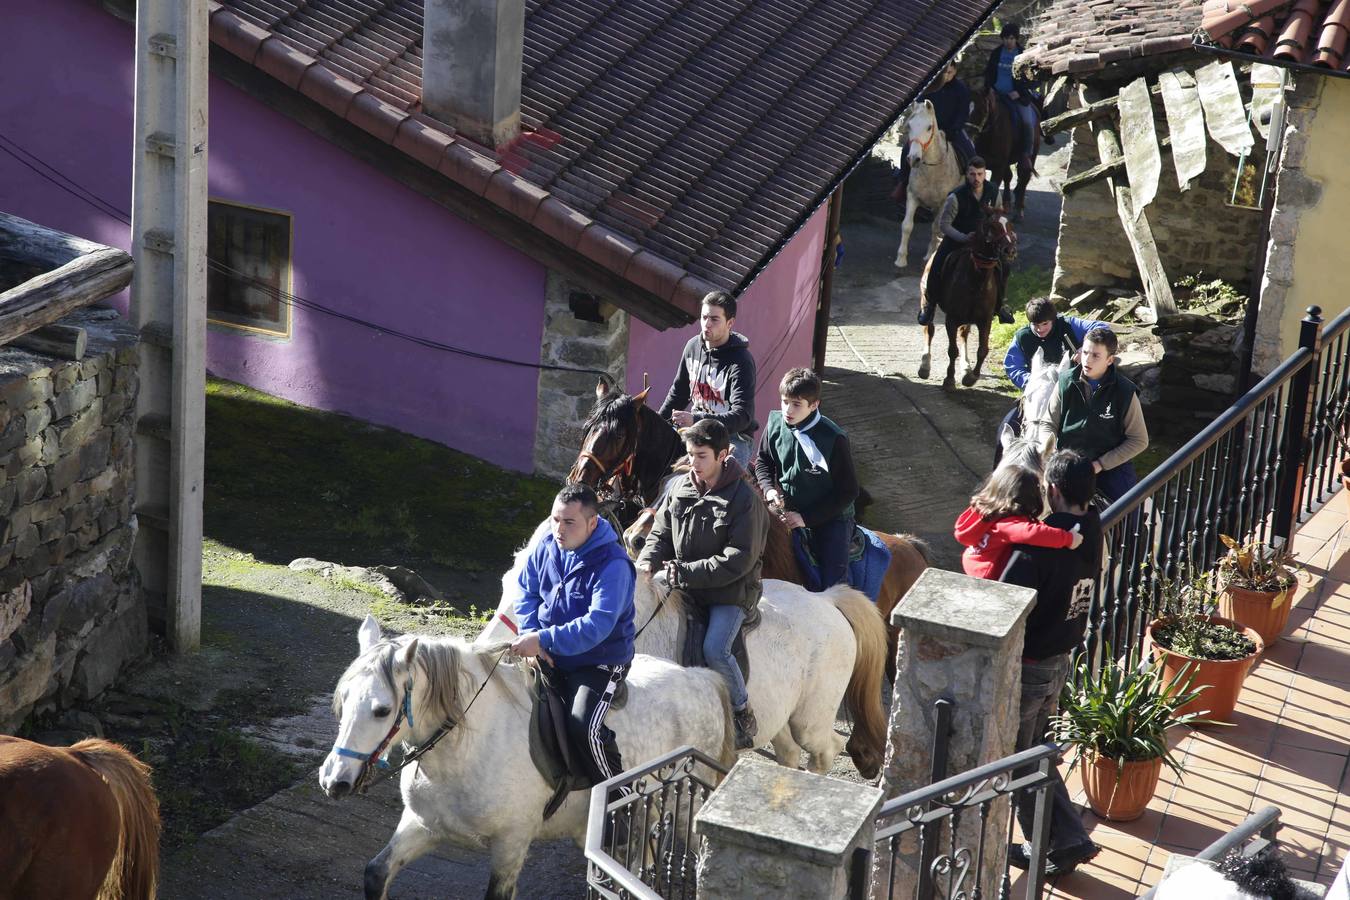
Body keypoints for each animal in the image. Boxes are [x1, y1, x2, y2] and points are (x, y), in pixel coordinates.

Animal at [319, 615, 734, 900]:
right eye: (343, 701)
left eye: (382, 710)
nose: (333, 779)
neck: (465, 749)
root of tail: (701, 678)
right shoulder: (423, 825)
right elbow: (377, 872)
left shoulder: (511, 843)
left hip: (687, 808)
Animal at [480, 528, 891, 782]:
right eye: (505, 584)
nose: (487, 647)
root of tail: (827, 600)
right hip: (783, 719)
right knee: (790, 754)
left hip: (811, 719)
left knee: (825, 751)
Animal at [891, 99, 966, 271]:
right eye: (909, 125)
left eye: (929, 127)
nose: (913, 159)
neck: (932, 170)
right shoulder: (912, 196)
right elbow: (907, 226)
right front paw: (901, 259)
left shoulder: (944, 202)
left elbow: (936, 227)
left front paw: (931, 255)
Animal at [972, 89, 1042, 221]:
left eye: (982, 110)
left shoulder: (999, 166)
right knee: (1009, 177)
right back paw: (1007, 204)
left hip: (1030, 156)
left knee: (1023, 178)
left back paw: (1019, 210)